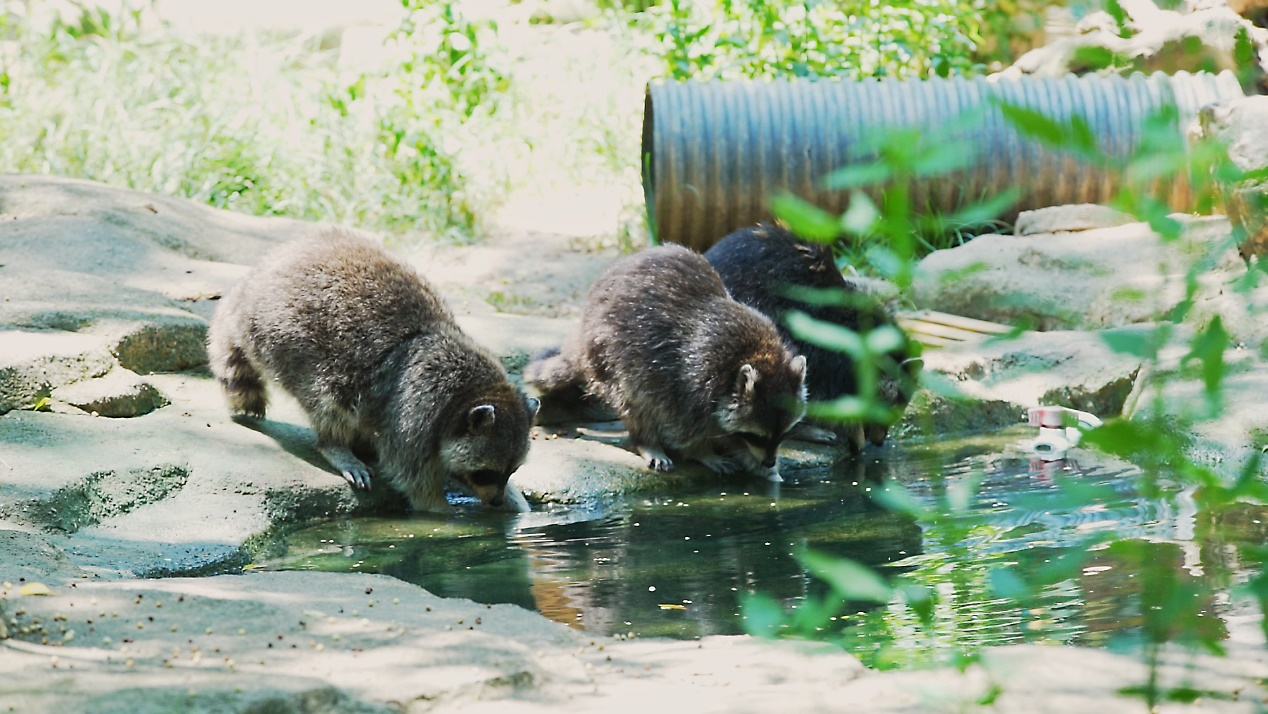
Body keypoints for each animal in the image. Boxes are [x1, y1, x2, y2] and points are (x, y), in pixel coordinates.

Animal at [527, 244, 806, 479]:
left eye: (782, 434)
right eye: (757, 436)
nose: (769, 461)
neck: (757, 355)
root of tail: (584, 326)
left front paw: (755, 463)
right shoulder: (692, 380)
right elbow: (684, 427)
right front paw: (703, 452)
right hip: (610, 354)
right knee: (635, 401)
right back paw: (647, 442)